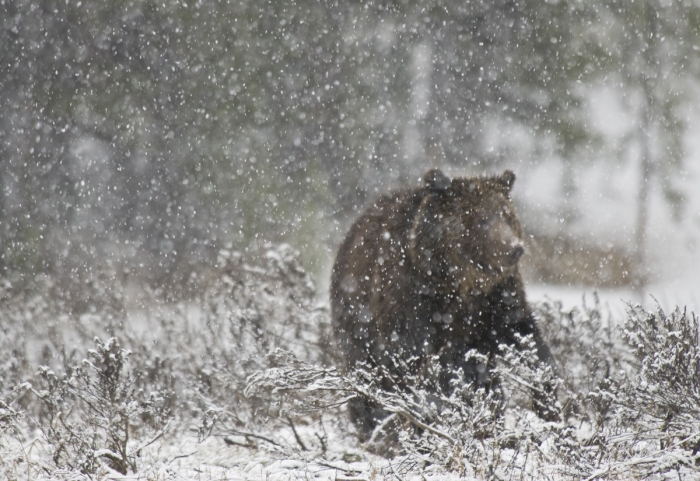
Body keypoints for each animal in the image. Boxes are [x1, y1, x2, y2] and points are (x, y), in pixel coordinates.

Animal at [330, 168, 556, 436]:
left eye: (507, 215)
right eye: (480, 219)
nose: (514, 248)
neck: (458, 285)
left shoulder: (498, 299)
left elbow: (527, 340)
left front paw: (548, 404)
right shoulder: (409, 303)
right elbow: (413, 362)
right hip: (356, 325)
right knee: (369, 380)